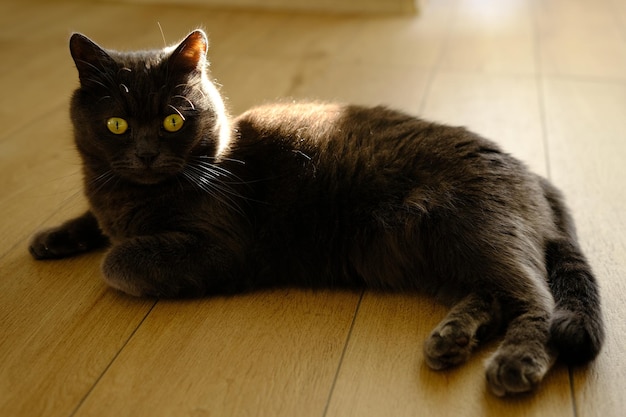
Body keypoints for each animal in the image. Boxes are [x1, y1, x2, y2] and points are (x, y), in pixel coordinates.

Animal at [28, 28, 600, 394]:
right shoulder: (106, 191)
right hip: (440, 252)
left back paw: (515, 362)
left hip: (472, 228)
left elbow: (118, 260)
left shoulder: (223, 245)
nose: (146, 154)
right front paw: (52, 236)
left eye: (173, 120)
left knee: (536, 298)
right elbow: (95, 220)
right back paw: (451, 339)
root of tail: (536, 177)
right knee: (494, 295)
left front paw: (113, 250)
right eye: (117, 125)